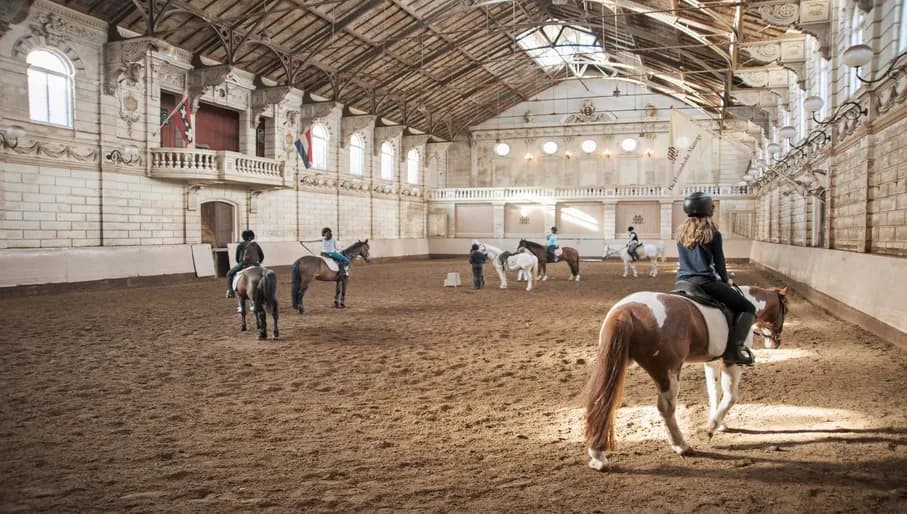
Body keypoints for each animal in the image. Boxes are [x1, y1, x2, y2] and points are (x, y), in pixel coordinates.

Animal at [583, 284, 789, 471]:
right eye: (785, 310)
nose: (776, 342)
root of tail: (627, 310)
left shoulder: (712, 361)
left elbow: (714, 392)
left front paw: (719, 423)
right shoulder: (732, 362)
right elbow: (731, 396)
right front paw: (710, 428)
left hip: (613, 361)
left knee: (602, 401)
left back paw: (597, 456)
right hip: (668, 372)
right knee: (666, 408)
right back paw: (681, 446)